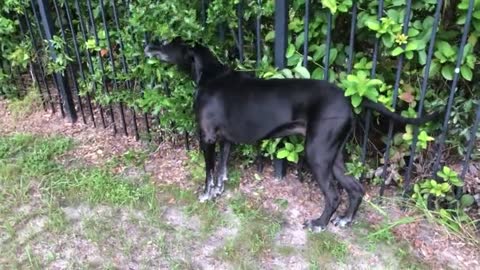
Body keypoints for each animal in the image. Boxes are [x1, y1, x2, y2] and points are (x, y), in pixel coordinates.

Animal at [144, 37, 440, 232]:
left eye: (167, 42)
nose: (147, 45)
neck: (211, 74)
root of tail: (348, 99)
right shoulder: (225, 140)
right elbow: (221, 170)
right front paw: (217, 191)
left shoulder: (206, 138)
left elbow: (208, 171)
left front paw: (206, 194)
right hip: (333, 155)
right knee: (355, 189)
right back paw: (345, 219)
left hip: (317, 153)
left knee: (334, 195)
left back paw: (319, 223)